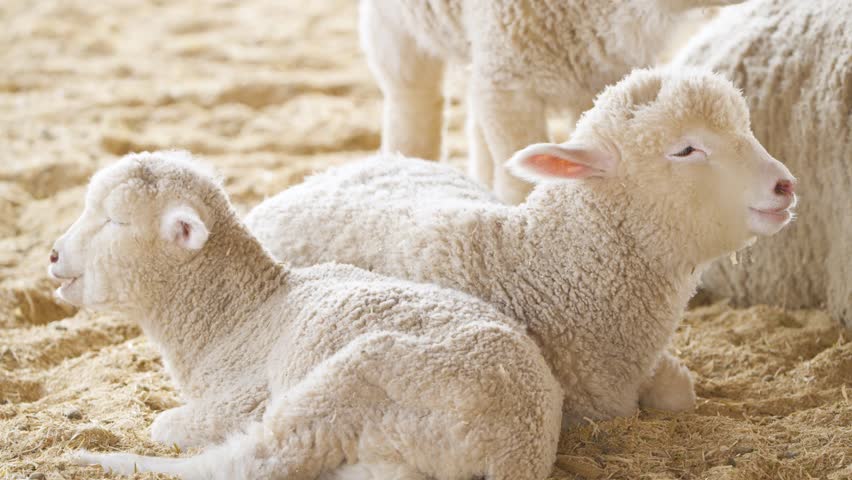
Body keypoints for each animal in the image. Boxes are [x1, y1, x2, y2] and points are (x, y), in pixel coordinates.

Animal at [55, 151, 563, 479]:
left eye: (116, 221)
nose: (53, 255)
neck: (238, 317)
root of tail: (512, 450)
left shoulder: (243, 401)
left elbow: (166, 425)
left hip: (355, 382)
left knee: (248, 463)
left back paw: (93, 460)